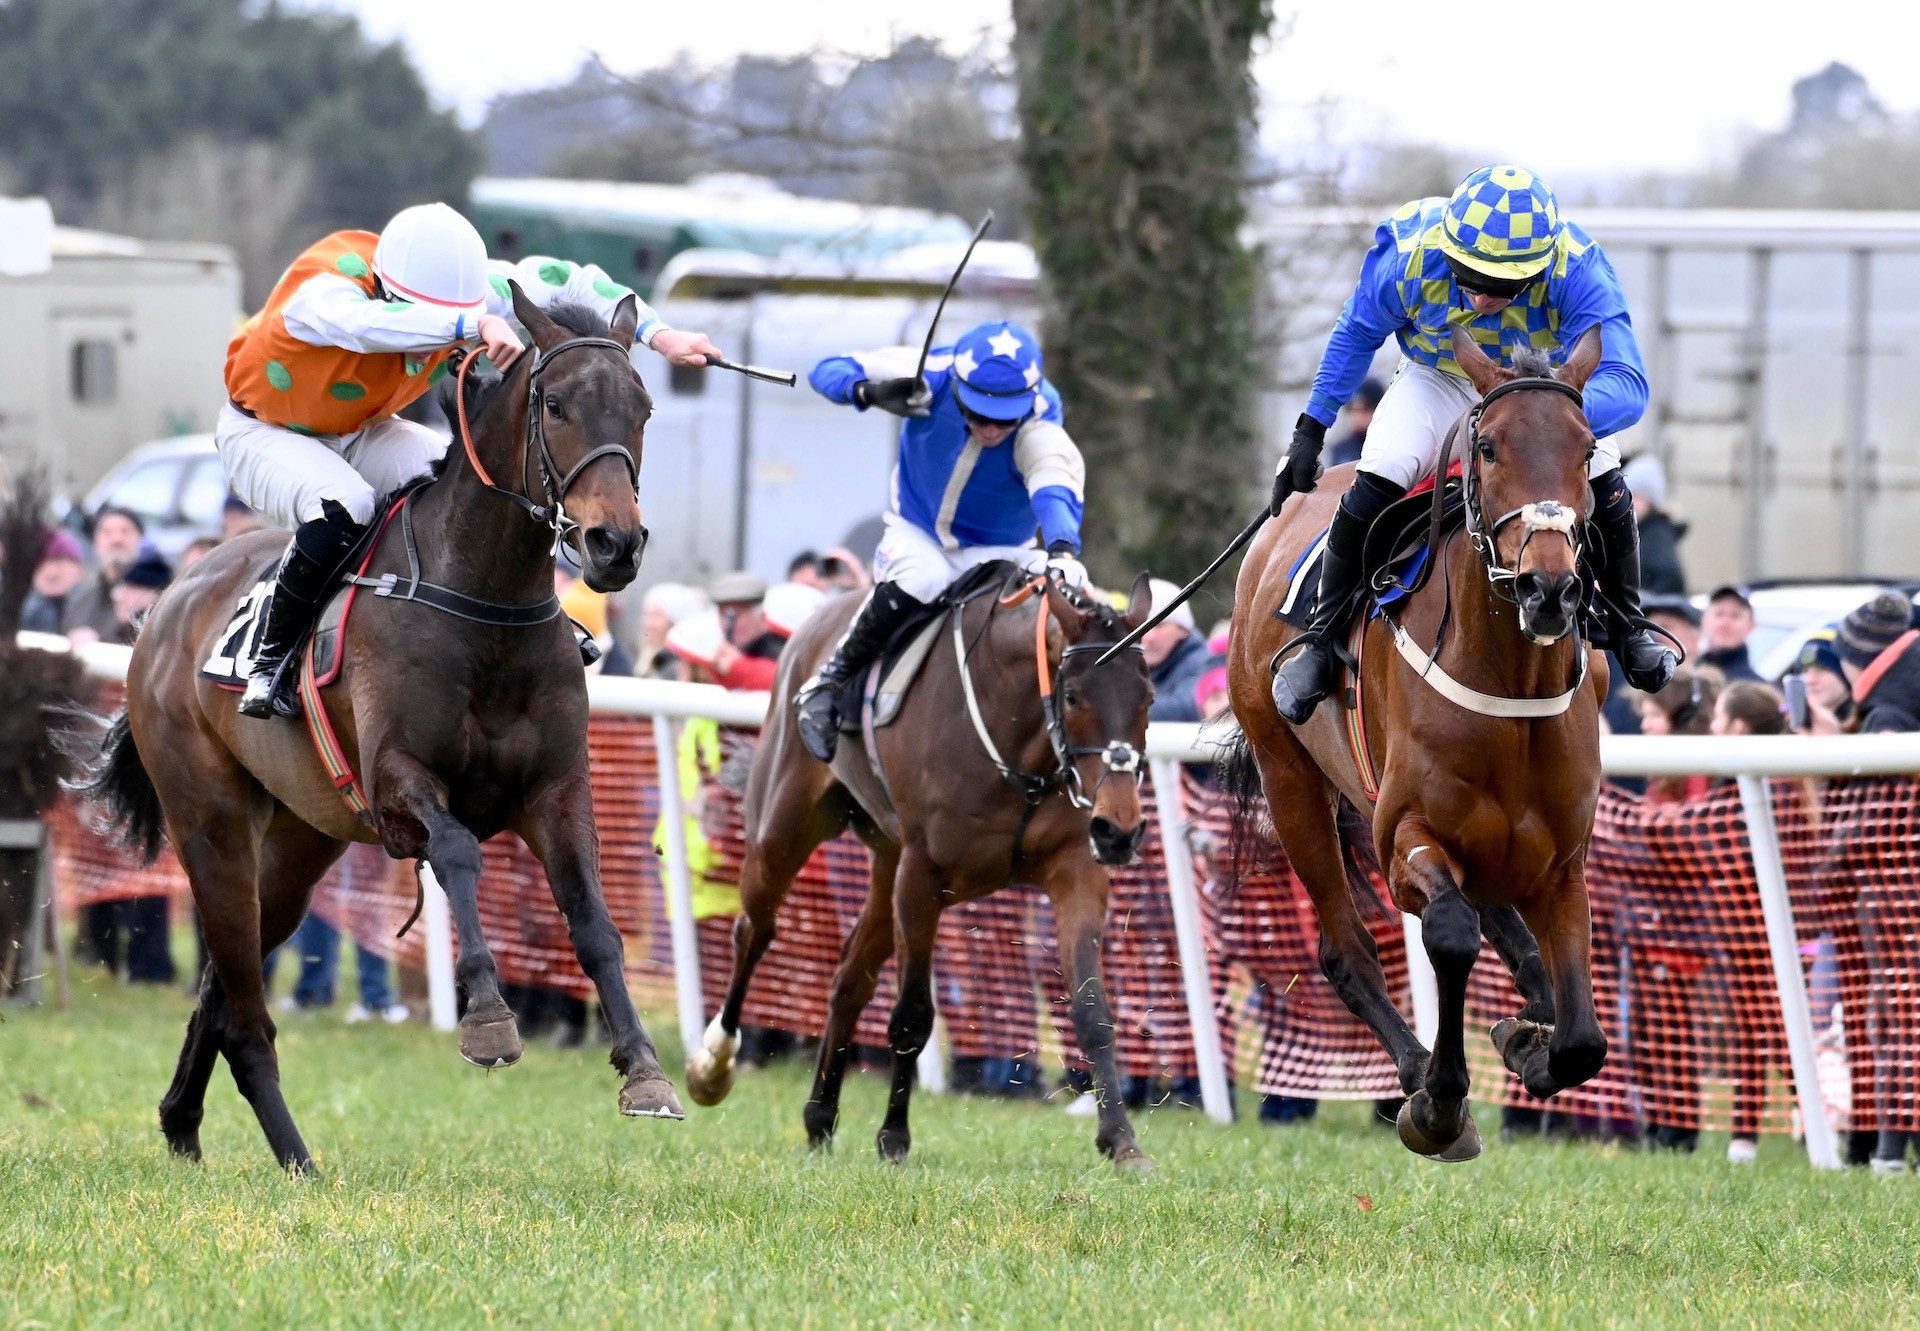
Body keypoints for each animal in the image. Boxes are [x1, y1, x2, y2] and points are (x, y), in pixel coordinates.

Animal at [82, 286, 683, 1167]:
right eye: (558, 405)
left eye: (642, 408)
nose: (616, 544)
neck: (485, 601)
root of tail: (163, 605)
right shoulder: (401, 778)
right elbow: (461, 851)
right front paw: (488, 1018)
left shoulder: (558, 788)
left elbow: (595, 921)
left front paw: (644, 1069)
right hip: (211, 826)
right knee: (245, 1011)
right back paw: (297, 1158)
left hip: (298, 847)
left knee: (224, 987)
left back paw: (184, 1124)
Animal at [695, 564, 1167, 1167]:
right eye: (1074, 695)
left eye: (1148, 695)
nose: (1120, 829)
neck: (1017, 745)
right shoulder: (921, 878)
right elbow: (913, 1014)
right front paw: (894, 1137)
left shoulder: (1076, 873)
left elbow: (1092, 1012)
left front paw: (1123, 1142)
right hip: (783, 830)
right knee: (753, 931)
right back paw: (712, 1065)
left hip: (884, 861)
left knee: (849, 977)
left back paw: (820, 1117)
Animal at [1221, 332, 1612, 1160]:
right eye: (1490, 448)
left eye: (1587, 448)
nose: (1549, 589)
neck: (1510, 687)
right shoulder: (1405, 833)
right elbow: (1450, 934)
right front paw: (1438, 1099)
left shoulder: (1561, 860)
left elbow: (1582, 1040)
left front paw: (1532, 1041)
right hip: (1290, 776)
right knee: (1347, 949)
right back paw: (1414, 1069)